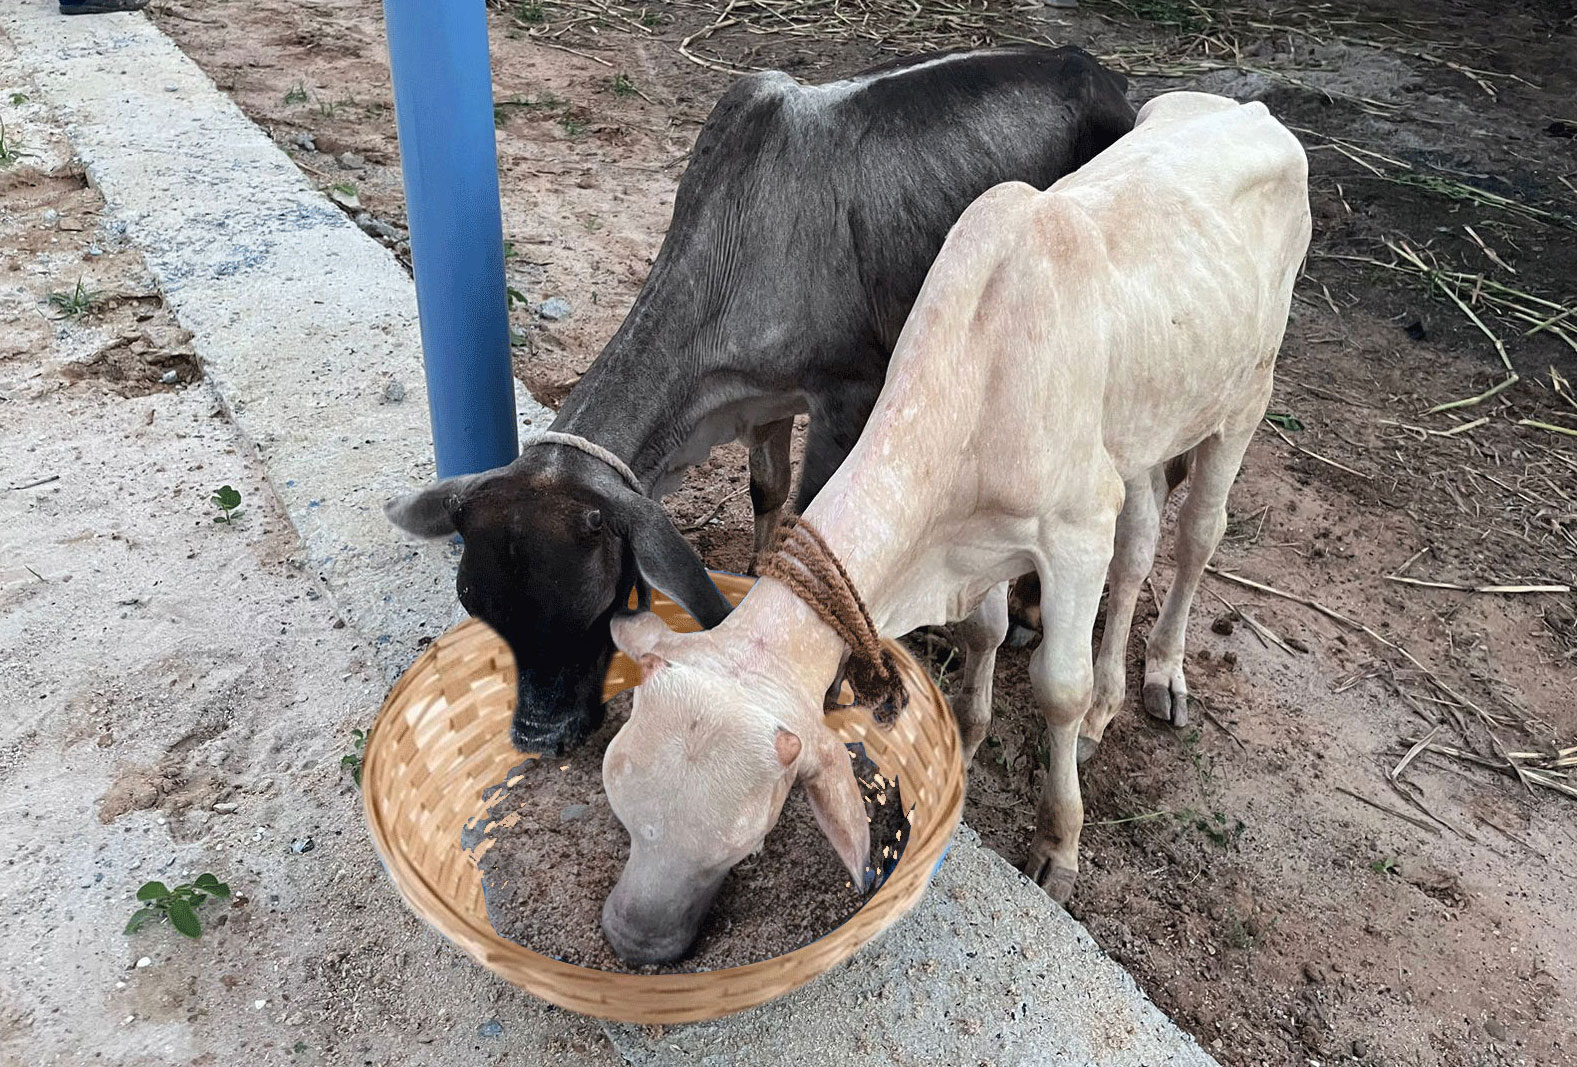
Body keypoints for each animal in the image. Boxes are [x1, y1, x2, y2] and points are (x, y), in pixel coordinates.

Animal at [389, 45, 1141, 753]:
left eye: (596, 606)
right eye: (481, 608)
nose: (537, 735)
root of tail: (1093, 68)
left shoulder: (846, 393)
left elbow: (811, 516)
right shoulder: (759, 400)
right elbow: (766, 491)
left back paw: (1033, 609)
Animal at [596, 93, 1312, 964]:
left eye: (741, 840)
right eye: (619, 794)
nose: (631, 942)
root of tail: (1251, 107)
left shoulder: (1074, 528)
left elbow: (1057, 686)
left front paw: (1057, 842)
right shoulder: (990, 538)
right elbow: (984, 631)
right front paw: (966, 745)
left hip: (1245, 397)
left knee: (1196, 537)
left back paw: (1160, 676)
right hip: (1145, 432)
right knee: (1140, 543)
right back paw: (1108, 708)